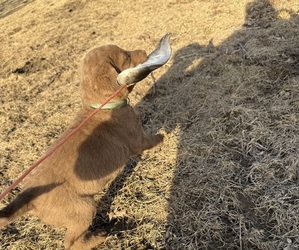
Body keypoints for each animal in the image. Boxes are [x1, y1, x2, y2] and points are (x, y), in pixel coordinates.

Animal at [0, 44, 164, 248]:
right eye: (126, 57)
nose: (144, 51)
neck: (101, 106)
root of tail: (28, 197)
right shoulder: (137, 140)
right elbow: (150, 140)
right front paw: (162, 138)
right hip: (83, 208)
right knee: (70, 242)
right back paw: (97, 238)